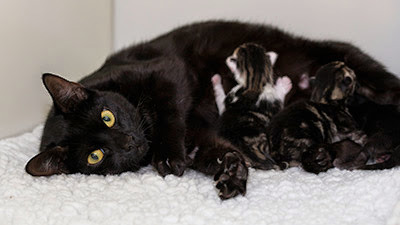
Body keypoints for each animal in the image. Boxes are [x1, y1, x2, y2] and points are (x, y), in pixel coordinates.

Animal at [25, 20, 400, 199]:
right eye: (96, 156)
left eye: (108, 116)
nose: (129, 142)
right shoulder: (199, 135)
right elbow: (216, 150)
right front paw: (232, 172)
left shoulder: (169, 71)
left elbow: (171, 112)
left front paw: (169, 157)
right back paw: (324, 156)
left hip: (357, 65)